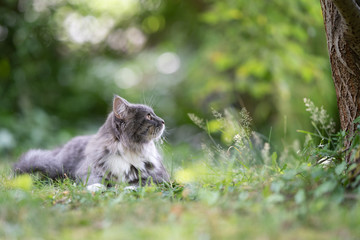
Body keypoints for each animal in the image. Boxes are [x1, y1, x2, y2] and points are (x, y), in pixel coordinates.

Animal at [14, 95, 170, 191]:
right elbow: (96, 181)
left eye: (153, 114)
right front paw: (95, 189)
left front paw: (129, 188)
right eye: (149, 116)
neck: (129, 150)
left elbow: (143, 181)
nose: (163, 121)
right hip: (56, 166)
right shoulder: (89, 170)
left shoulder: (160, 176)